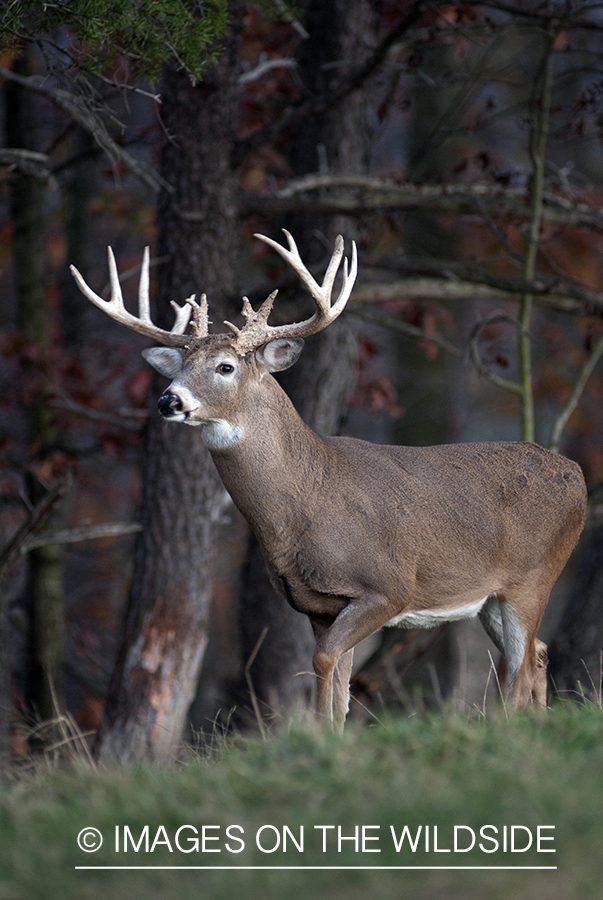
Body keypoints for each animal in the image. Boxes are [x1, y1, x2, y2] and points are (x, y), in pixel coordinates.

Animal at [69, 232, 584, 732]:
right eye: (178, 367)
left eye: (225, 366)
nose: (168, 401)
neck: (306, 505)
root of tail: (577, 475)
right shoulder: (319, 605)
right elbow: (339, 683)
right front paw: (332, 736)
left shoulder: (387, 587)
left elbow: (323, 662)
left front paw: (321, 739)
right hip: (492, 598)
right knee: (537, 655)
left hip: (534, 576)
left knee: (521, 668)